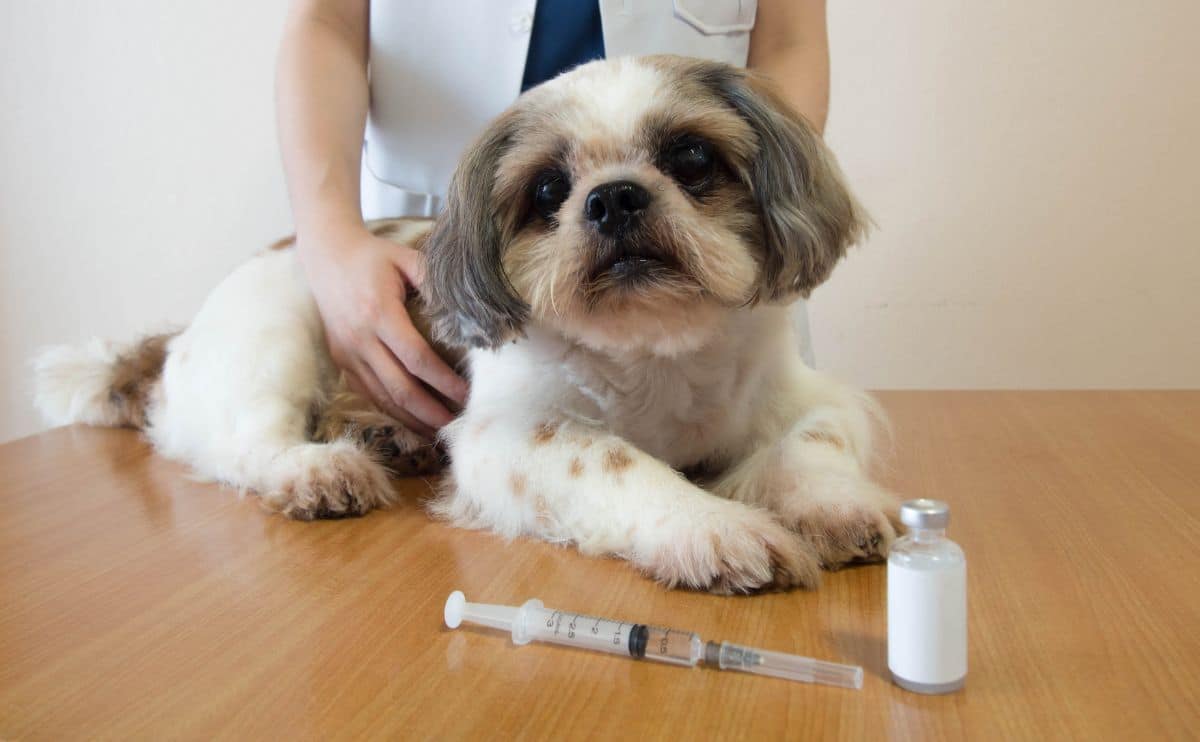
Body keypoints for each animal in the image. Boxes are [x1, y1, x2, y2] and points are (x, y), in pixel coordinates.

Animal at [35, 54, 902, 593]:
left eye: (690, 159)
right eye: (548, 190)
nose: (615, 197)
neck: (654, 353)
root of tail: (173, 341)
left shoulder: (808, 398)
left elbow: (813, 445)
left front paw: (836, 506)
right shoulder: (515, 438)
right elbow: (619, 463)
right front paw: (712, 526)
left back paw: (388, 436)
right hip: (273, 329)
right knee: (249, 442)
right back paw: (320, 470)